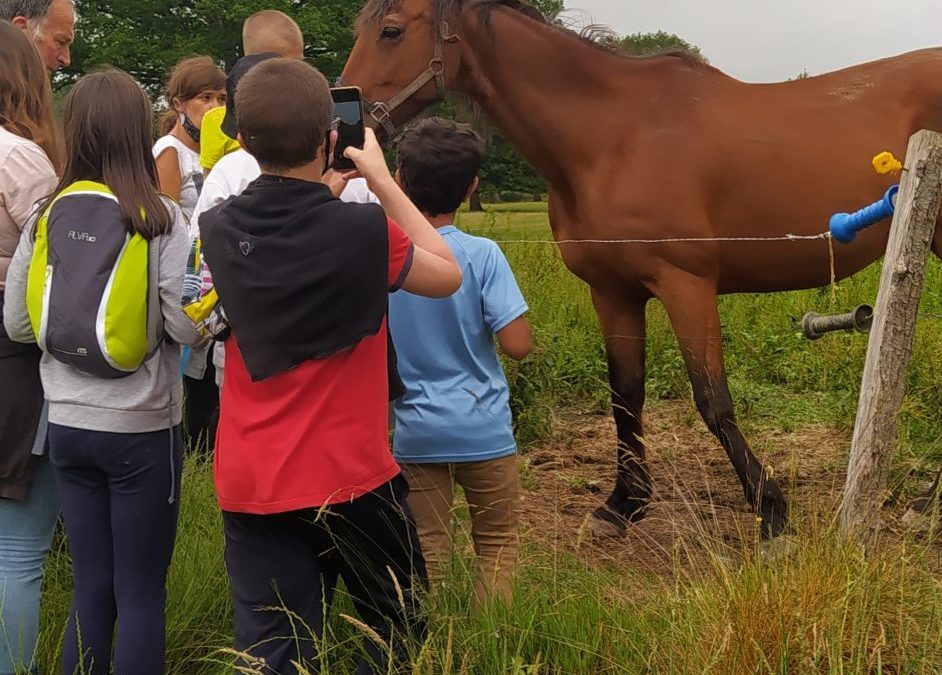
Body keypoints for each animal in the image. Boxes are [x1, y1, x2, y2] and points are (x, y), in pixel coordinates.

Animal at [342, 0, 942, 540]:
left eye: (391, 30)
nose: (347, 120)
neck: (612, 138)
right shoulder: (613, 292)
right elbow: (625, 394)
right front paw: (623, 504)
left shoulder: (686, 285)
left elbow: (713, 401)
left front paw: (770, 508)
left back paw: (919, 507)